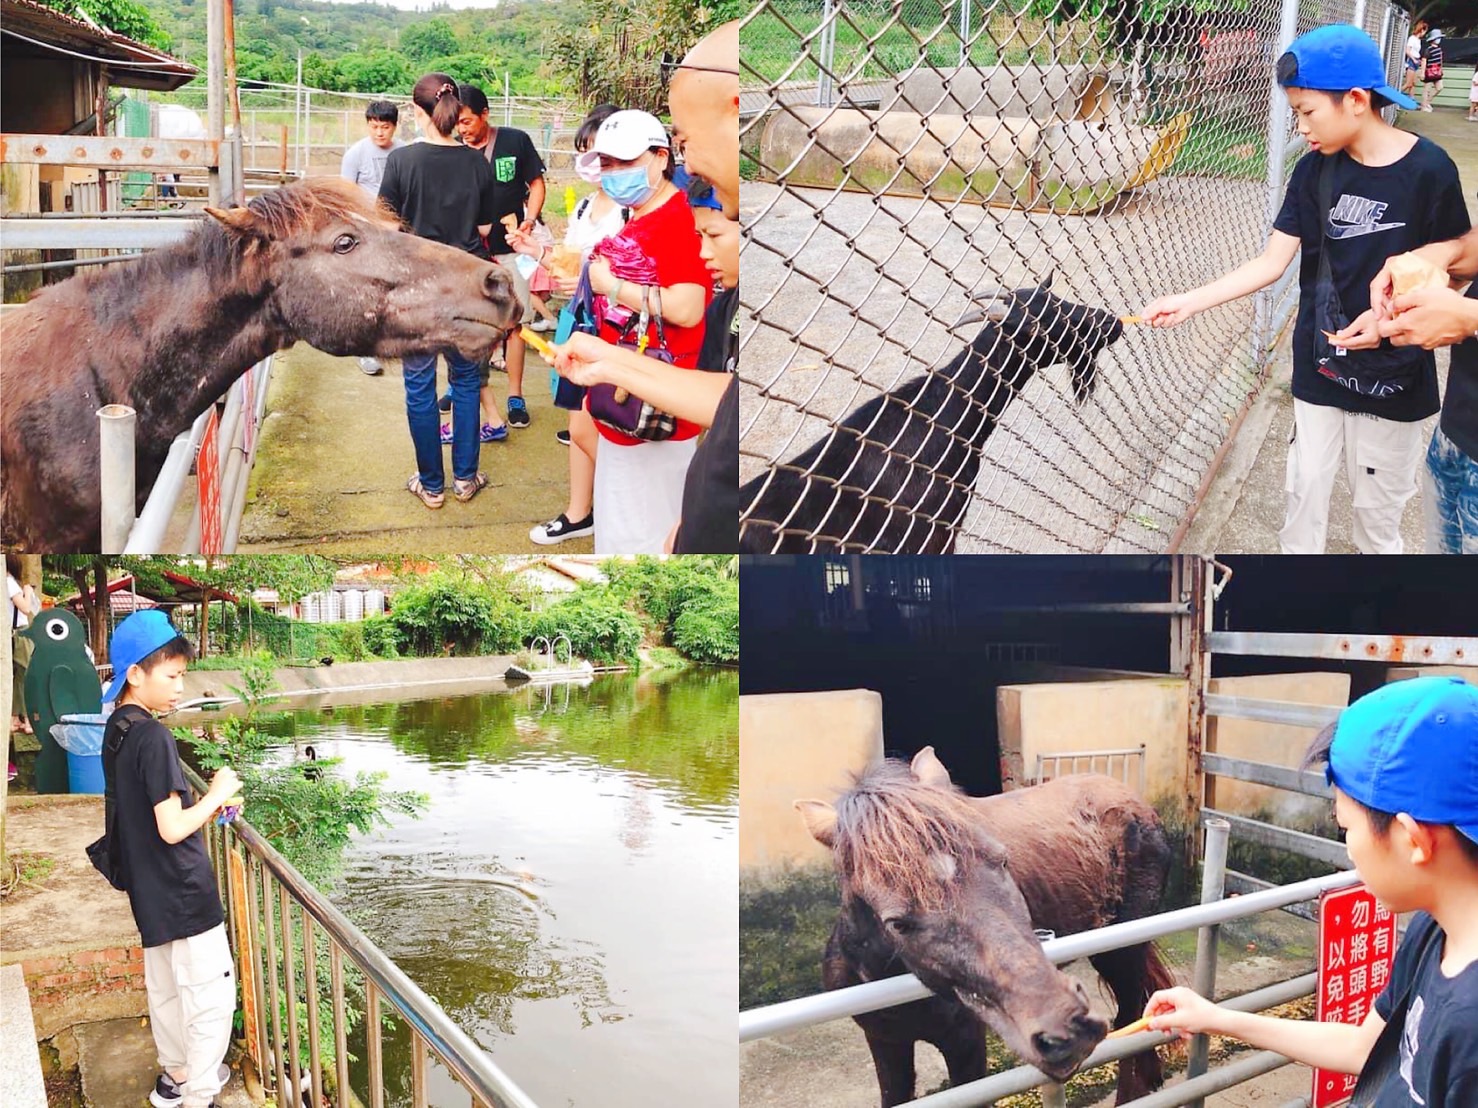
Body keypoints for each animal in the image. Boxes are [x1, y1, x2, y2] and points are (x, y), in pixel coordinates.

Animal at [804, 750, 1170, 1105]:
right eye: (897, 923)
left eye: (1002, 860)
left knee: (1130, 1014)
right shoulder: (886, 1044)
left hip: (1121, 951)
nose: (1066, 1027)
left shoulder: (966, 1047)